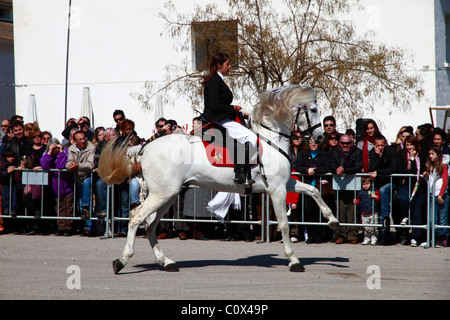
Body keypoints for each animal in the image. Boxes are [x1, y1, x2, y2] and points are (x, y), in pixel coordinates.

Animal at [97, 84, 338, 272]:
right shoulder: (276, 190)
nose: (320, 137)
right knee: (136, 218)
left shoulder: (285, 183)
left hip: (168, 196)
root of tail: (144, 147)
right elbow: (285, 224)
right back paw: (121, 261)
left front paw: (332, 220)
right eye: (313, 109)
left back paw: (166, 262)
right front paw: (294, 260)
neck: (271, 140)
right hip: (162, 194)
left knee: (150, 226)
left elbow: (314, 190)